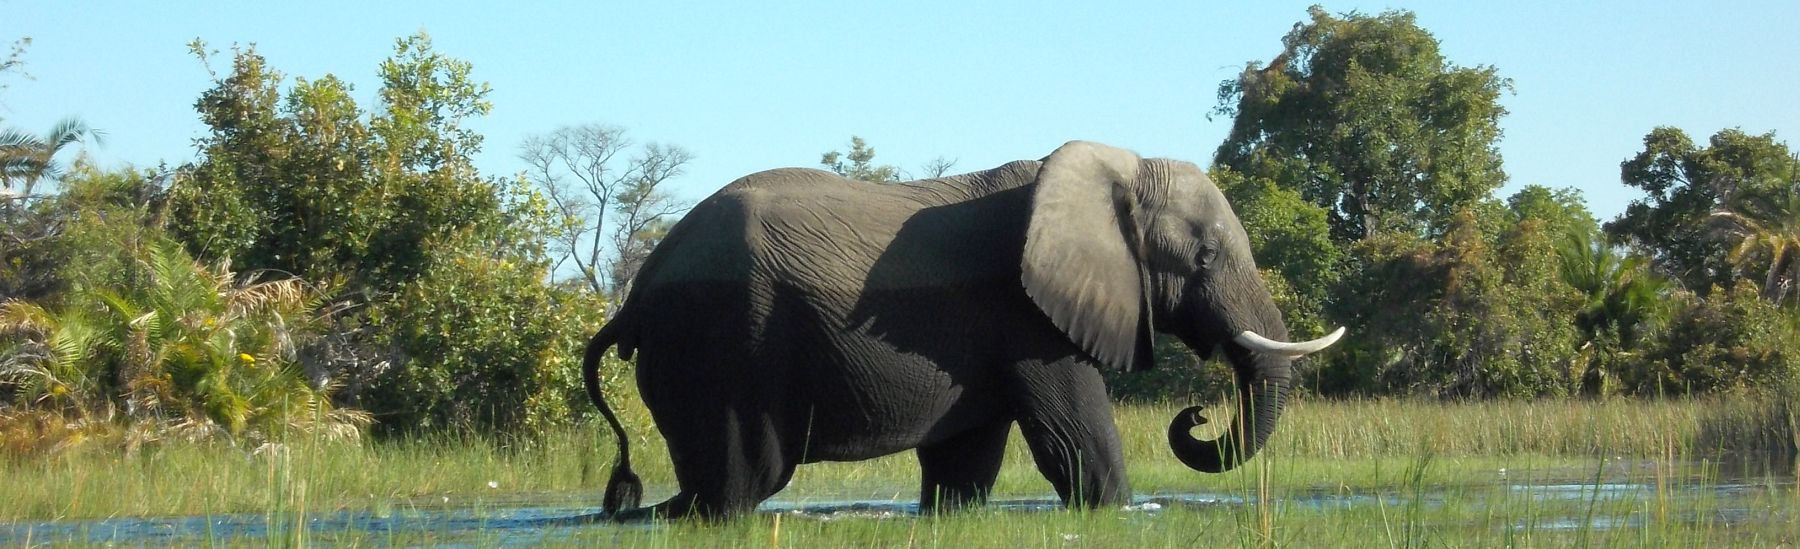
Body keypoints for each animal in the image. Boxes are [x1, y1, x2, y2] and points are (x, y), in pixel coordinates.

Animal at [583, 140, 1346, 518]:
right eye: (1206, 256)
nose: (1194, 416)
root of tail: (637, 293)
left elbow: (964, 464)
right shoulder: (1027, 314)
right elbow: (1077, 442)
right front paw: (1115, 513)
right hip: (717, 344)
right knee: (739, 481)